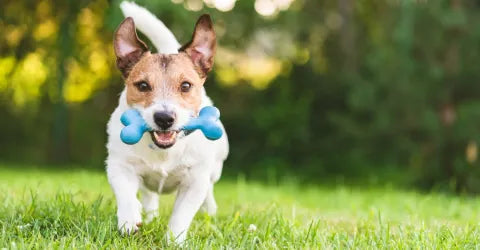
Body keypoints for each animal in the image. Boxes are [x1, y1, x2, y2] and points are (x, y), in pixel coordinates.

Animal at [106, 1, 230, 243]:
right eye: (143, 85)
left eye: (186, 86)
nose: (164, 118)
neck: (164, 150)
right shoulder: (119, 165)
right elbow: (125, 193)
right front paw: (129, 220)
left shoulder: (195, 181)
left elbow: (181, 214)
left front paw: (174, 240)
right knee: (148, 194)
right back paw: (149, 214)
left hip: (215, 169)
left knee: (209, 192)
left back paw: (210, 213)